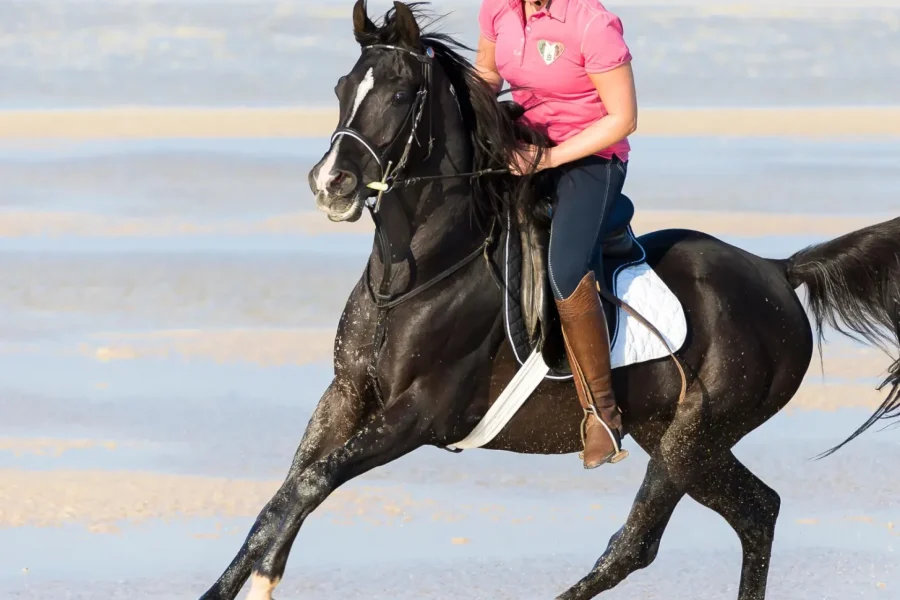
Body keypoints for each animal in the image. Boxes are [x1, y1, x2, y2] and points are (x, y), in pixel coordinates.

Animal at [199, 3, 900, 599]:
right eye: (343, 88)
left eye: (399, 94)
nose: (332, 183)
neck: (415, 276)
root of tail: (776, 272)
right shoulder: (345, 395)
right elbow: (284, 494)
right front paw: (253, 578)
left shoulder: (419, 415)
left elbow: (309, 483)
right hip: (672, 434)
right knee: (758, 511)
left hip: (692, 439)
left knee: (638, 543)